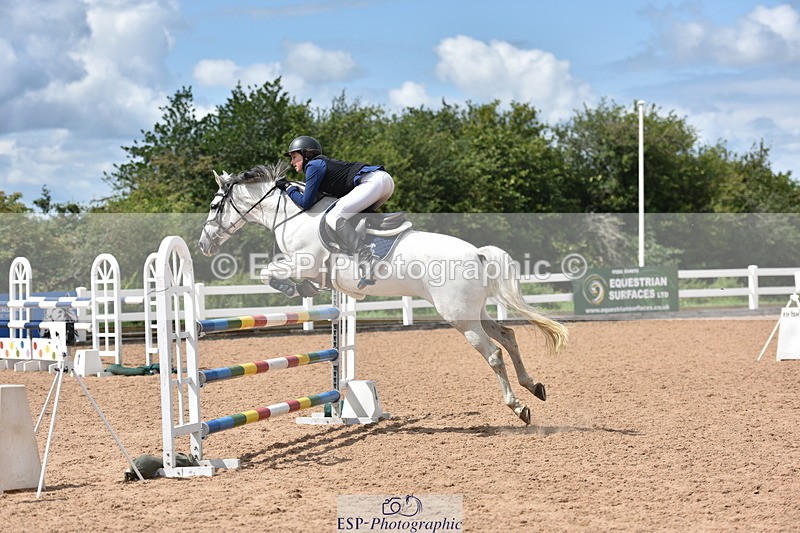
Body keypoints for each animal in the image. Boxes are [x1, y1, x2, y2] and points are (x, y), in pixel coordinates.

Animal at [198, 161, 568, 425]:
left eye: (216, 206)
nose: (203, 244)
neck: (294, 215)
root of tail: (477, 252)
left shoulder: (304, 263)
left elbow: (269, 273)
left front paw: (293, 287)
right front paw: (300, 289)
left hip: (458, 316)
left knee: (493, 354)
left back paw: (519, 408)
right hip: (472, 311)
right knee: (508, 335)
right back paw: (534, 386)